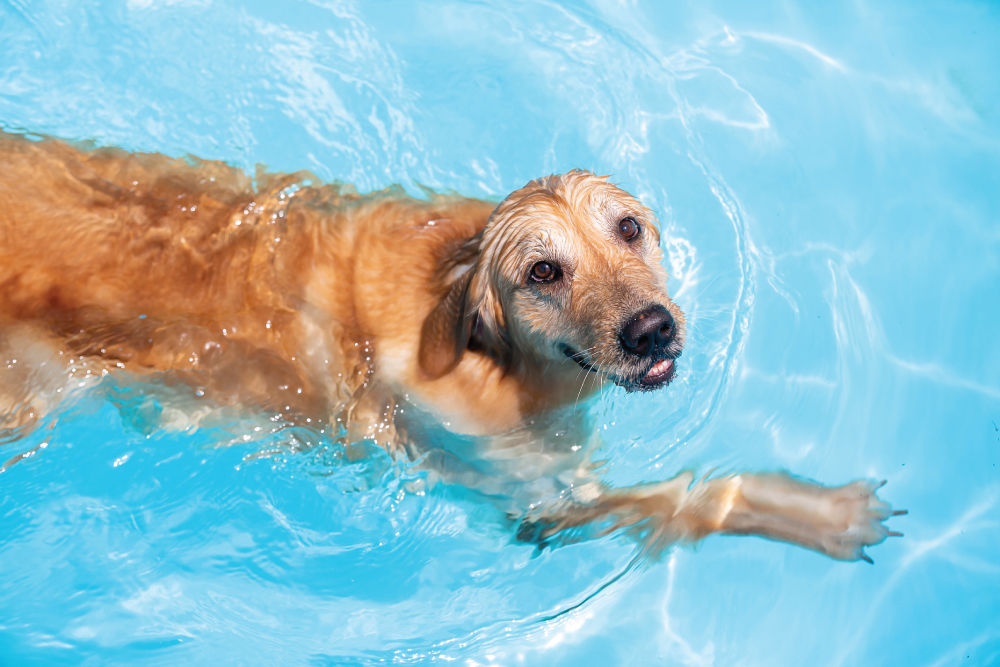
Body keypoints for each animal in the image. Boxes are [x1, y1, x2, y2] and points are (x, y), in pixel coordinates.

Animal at [0, 129, 904, 560]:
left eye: (629, 228)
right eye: (544, 271)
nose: (653, 327)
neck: (491, 358)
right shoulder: (538, 504)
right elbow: (690, 497)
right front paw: (826, 515)